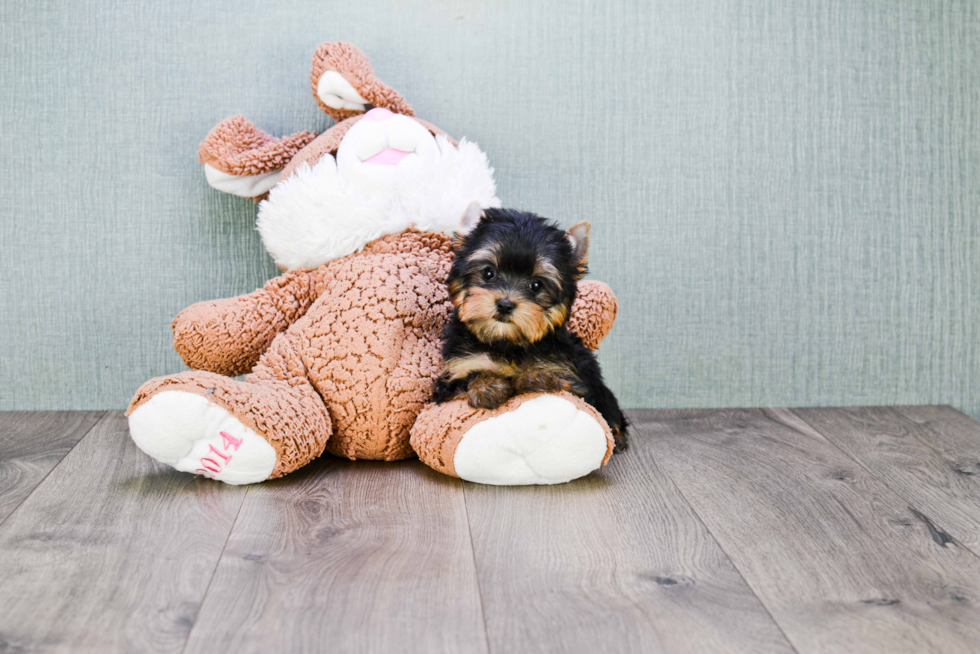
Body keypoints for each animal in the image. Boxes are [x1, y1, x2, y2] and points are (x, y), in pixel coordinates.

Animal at [434, 208, 628, 454]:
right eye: (488, 273)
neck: (506, 342)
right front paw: (486, 386)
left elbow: (560, 381)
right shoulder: (453, 374)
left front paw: (537, 375)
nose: (505, 304)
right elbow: (468, 377)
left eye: (536, 285)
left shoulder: (571, 377)